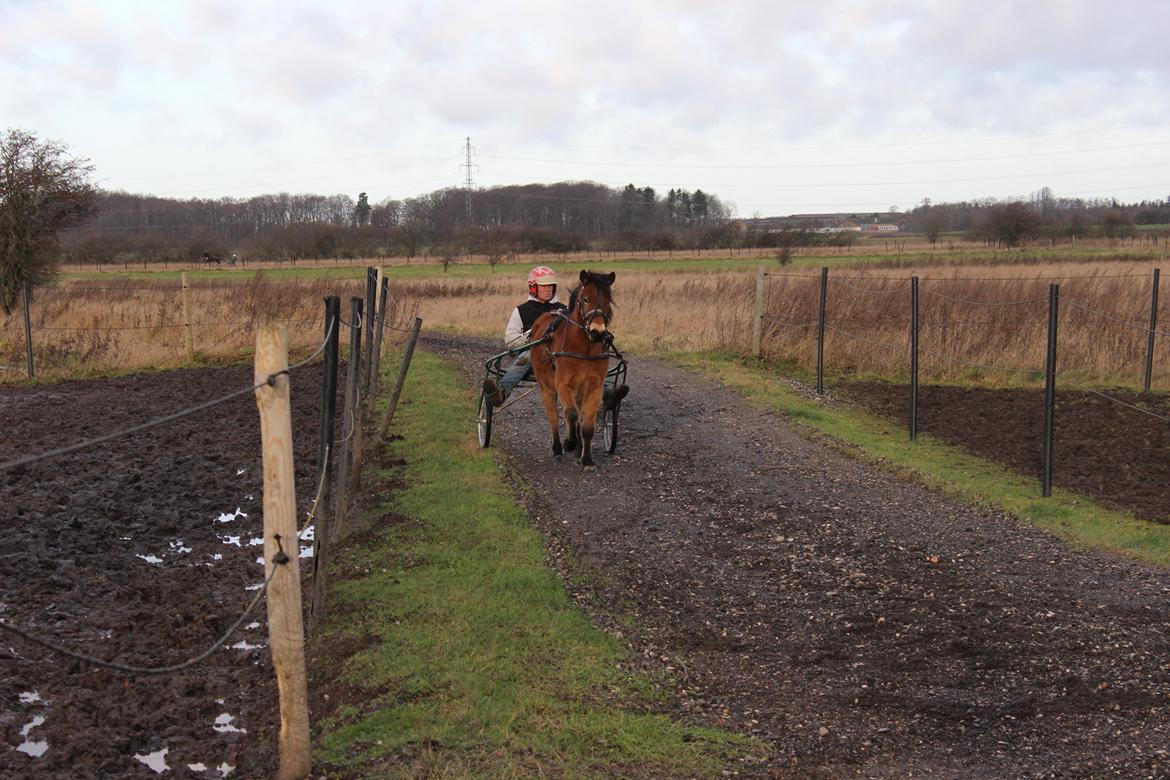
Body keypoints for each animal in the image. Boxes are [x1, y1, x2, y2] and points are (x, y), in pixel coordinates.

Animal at [531, 268, 617, 470]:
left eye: (608, 301)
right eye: (585, 299)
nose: (597, 332)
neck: (584, 348)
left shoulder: (595, 387)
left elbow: (587, 425)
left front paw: (587, 459)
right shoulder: (563, 384)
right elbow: (570, 415)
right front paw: (569, 443)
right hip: (545, 386)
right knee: (554, 416)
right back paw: (558, 448)